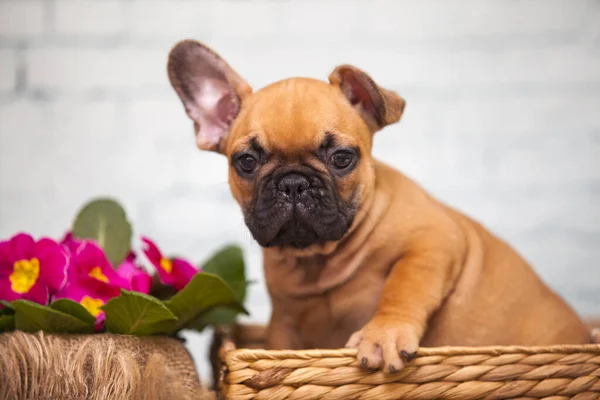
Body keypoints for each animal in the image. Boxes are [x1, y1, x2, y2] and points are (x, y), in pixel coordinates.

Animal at [166, 39, 588, 372]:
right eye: (246, 163)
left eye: (342, 158)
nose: (293, 183)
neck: (320, 260)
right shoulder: (284, 326)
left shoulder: (433, 242)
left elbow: (404, 285)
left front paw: (383, 335)